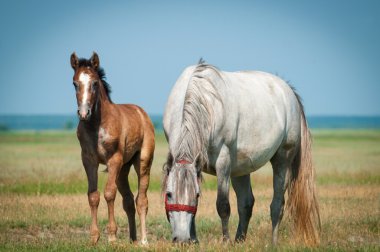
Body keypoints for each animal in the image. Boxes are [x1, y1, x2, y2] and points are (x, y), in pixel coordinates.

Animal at [70, 52, 154, 244]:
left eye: (94, 83)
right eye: (75, 83)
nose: (84, 113)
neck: (96, 126)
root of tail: (142, 113)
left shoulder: (113, 159)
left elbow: (109, 193)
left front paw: (112, 236)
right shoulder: (89, 160)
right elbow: (93, 196)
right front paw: (94, 237)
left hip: (142, 163)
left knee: (141, 200)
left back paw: (144, 240)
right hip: (123, 169)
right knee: (128, 201)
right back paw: (132, 239)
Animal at [163, 60, 320, 244]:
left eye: (196, 195)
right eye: (168, 194)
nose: (181, 239)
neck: (206, 101)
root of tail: (289, 91)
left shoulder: (223, 162)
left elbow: (223, 205)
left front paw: (225, 241)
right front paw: (194, 241)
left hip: (282, 160)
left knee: (277, 205)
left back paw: (273, 242)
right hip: (240, 169)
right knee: (246, 203)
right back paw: (239, 240)